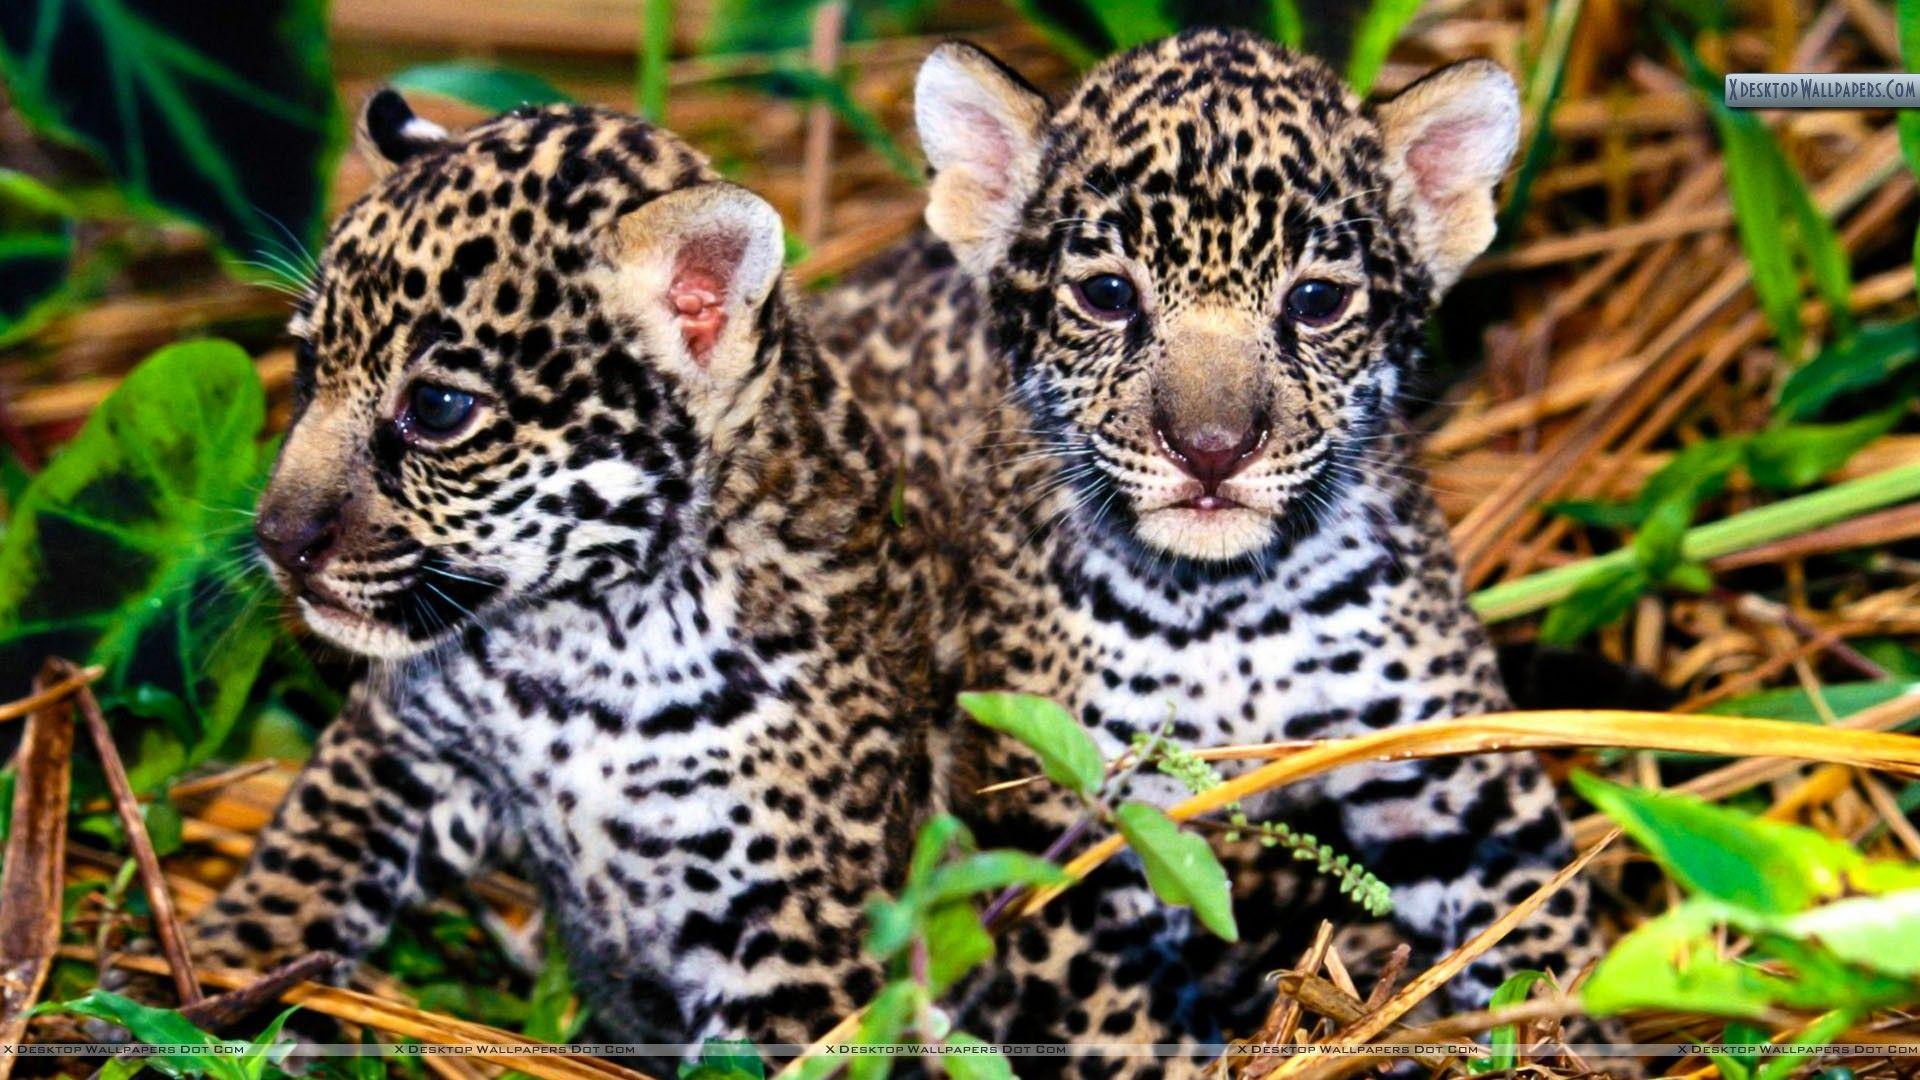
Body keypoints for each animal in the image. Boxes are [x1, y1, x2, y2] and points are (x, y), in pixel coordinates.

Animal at [167, 92, 954, 1067]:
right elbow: (301, 859)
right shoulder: (397, 743)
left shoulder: (797, 941)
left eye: (438, 409)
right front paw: (207, 984)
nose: (277, 540)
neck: (583, 649)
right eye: (310, 366)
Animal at [817, 29, 1607, 1075]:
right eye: (1108, 295)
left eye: (1315, 302)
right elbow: (1120, 1030)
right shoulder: (1062, 827)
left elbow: (1545, 934)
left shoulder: (1452, 775)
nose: (1212, 448)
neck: (1229, 608)